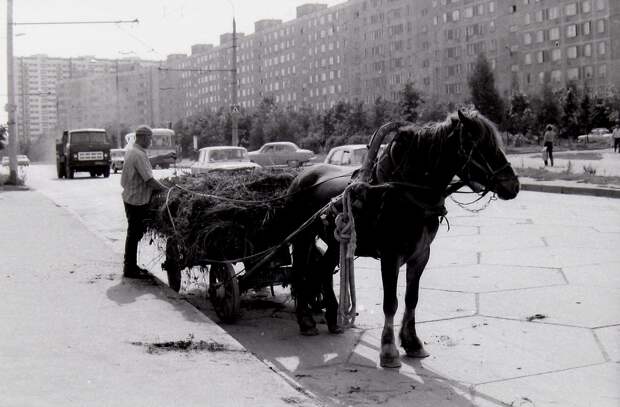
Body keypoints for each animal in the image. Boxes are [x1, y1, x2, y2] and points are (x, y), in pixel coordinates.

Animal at [286, 111, 520, 370]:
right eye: (479, 145)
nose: (513, 185)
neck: (404, 191)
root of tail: (302, 175)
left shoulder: (421, 255)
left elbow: (411, 299)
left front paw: (412, 342)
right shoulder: (390, 256)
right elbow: (391, 302)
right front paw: (389, 349)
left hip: (336, 242)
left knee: (323, 270)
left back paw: (333, 318)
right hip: (303, 237)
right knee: (300, 272)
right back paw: (306, 321)